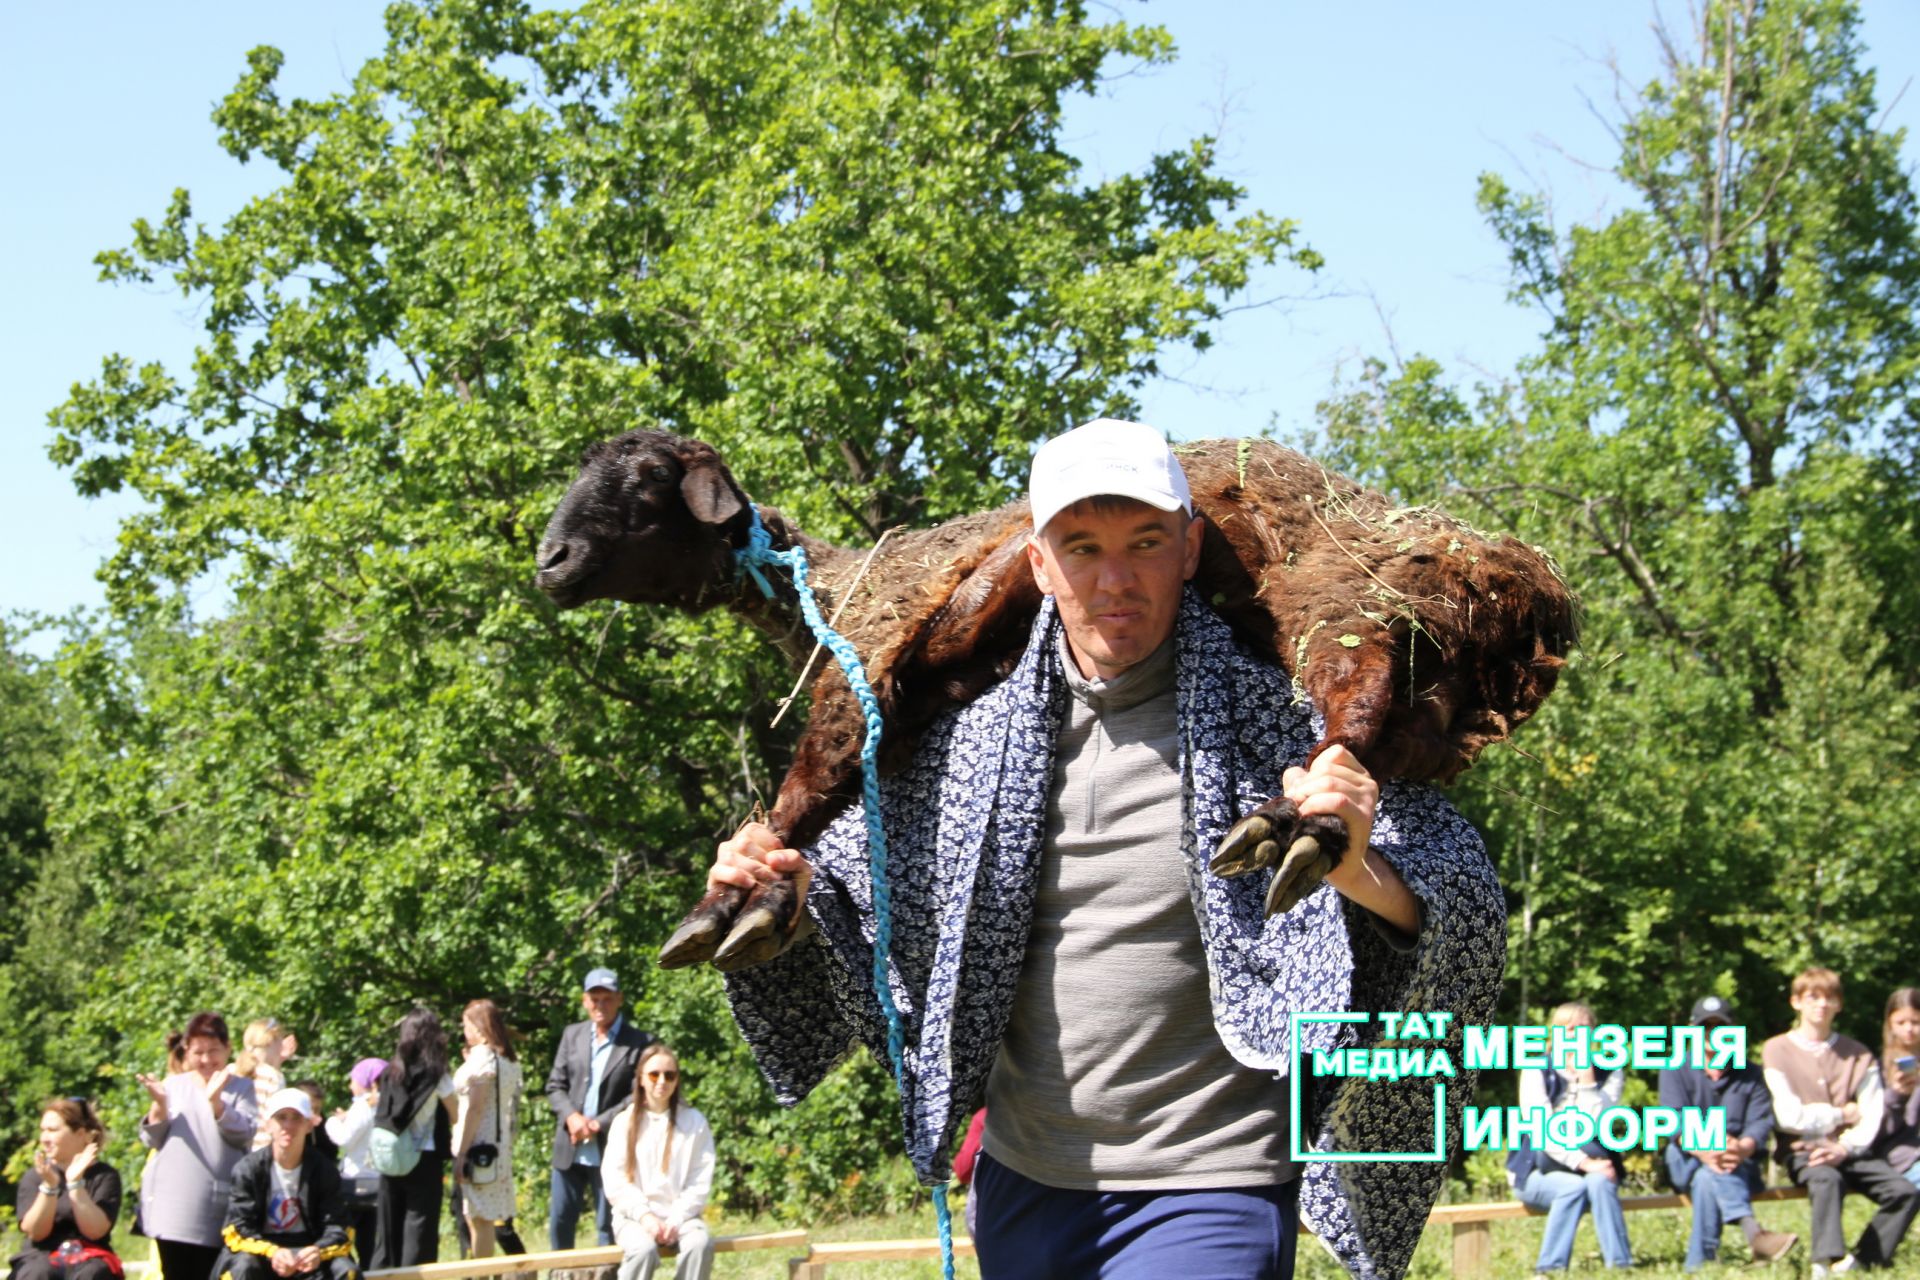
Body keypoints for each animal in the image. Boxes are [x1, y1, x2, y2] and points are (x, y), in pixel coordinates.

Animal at [529, 429, 1574, 971]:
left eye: (645, 480)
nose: (552, 560)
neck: (829, 590)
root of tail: (1520, 584)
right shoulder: (919, 686)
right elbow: (844, 787)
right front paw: (765, 896)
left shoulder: (867, 664)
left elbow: (808, 782)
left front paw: (727, 905)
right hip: (1428, 685)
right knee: (1388, 741)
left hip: (1348, 600)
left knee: (1355, 704)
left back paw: (1296, 827)